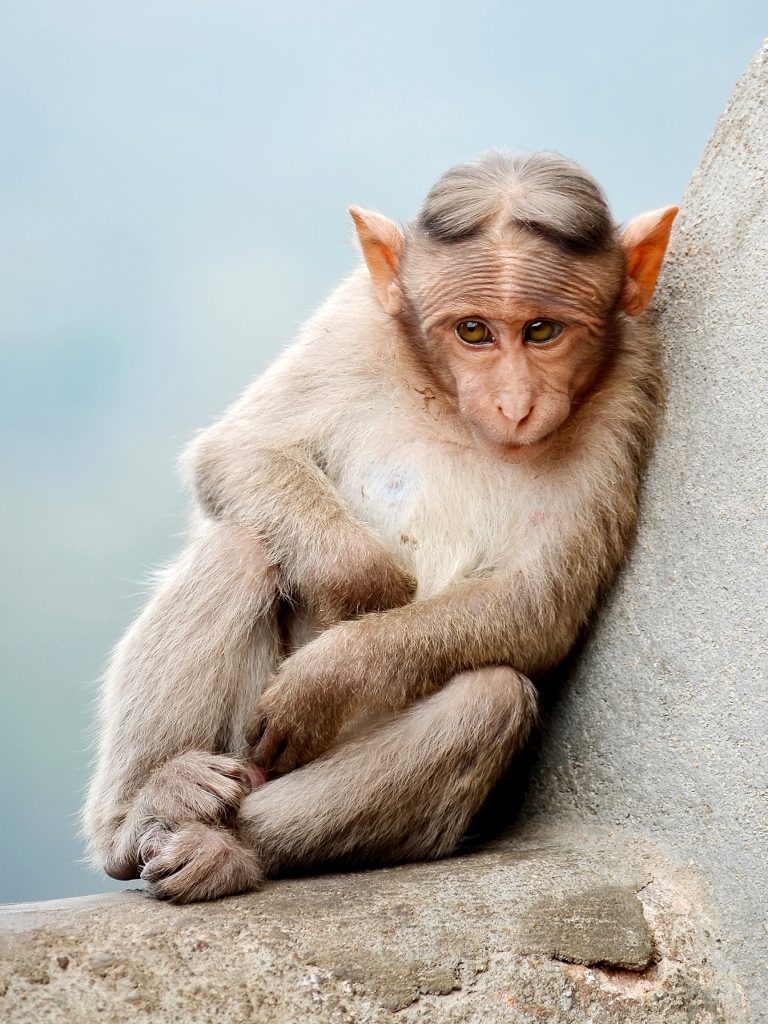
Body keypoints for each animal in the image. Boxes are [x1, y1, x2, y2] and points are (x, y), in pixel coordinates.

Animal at [82, 150, 677, 903]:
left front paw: (333, 673)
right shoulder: (354, 319)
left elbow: (539, 595)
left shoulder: (629, 379)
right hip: (239, 743)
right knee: (242, 545)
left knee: (489, 698)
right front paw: (361, 587)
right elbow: (239, 451)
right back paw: (144, 814)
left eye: (542, 330)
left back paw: (232, 851)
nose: (514, 403)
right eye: (473, 330)